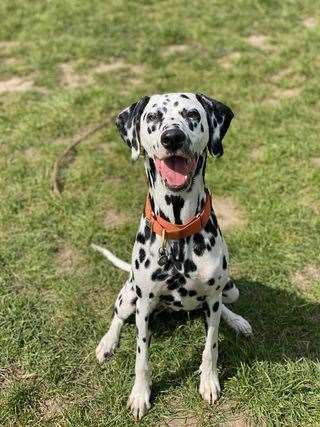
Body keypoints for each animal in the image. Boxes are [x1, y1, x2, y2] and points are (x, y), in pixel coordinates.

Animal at [91, 93, 251, 418]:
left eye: (192, 114)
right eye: (153, 117)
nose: (173, 137)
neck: (178, 228)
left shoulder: (213, 299)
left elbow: (211, 346)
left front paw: (209, 381)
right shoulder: (144, 306)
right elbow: (141, 357)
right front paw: (140, 394)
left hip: (230, 289)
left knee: (225, 307)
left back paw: (237, 320)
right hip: (129, 296)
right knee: (117, 316)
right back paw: (107, 343)